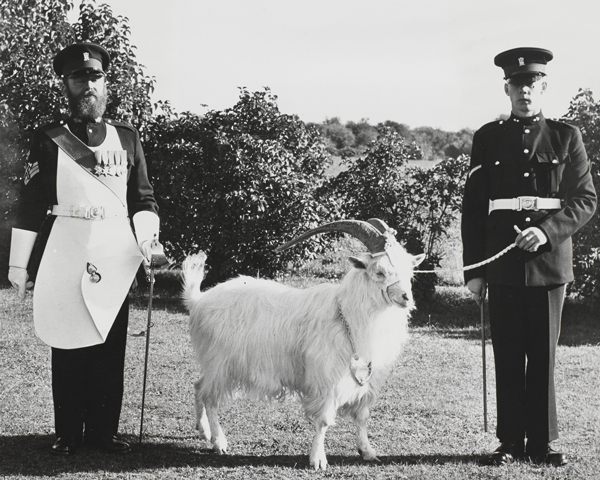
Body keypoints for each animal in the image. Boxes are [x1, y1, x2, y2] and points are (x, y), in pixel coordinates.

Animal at [180, 219, 424, 470]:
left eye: (409, 270)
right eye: (379, 272)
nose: (406, 297)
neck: (346, 314)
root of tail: (199, 300)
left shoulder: (367, 381)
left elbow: (362, 416)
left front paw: (367, 451)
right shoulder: (326, 379)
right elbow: (324, 421)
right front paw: (318, 459)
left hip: (213, 363)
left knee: (198, 386)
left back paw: (203, 431)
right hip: (220, 363)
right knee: (210, 397)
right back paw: (219, 442)